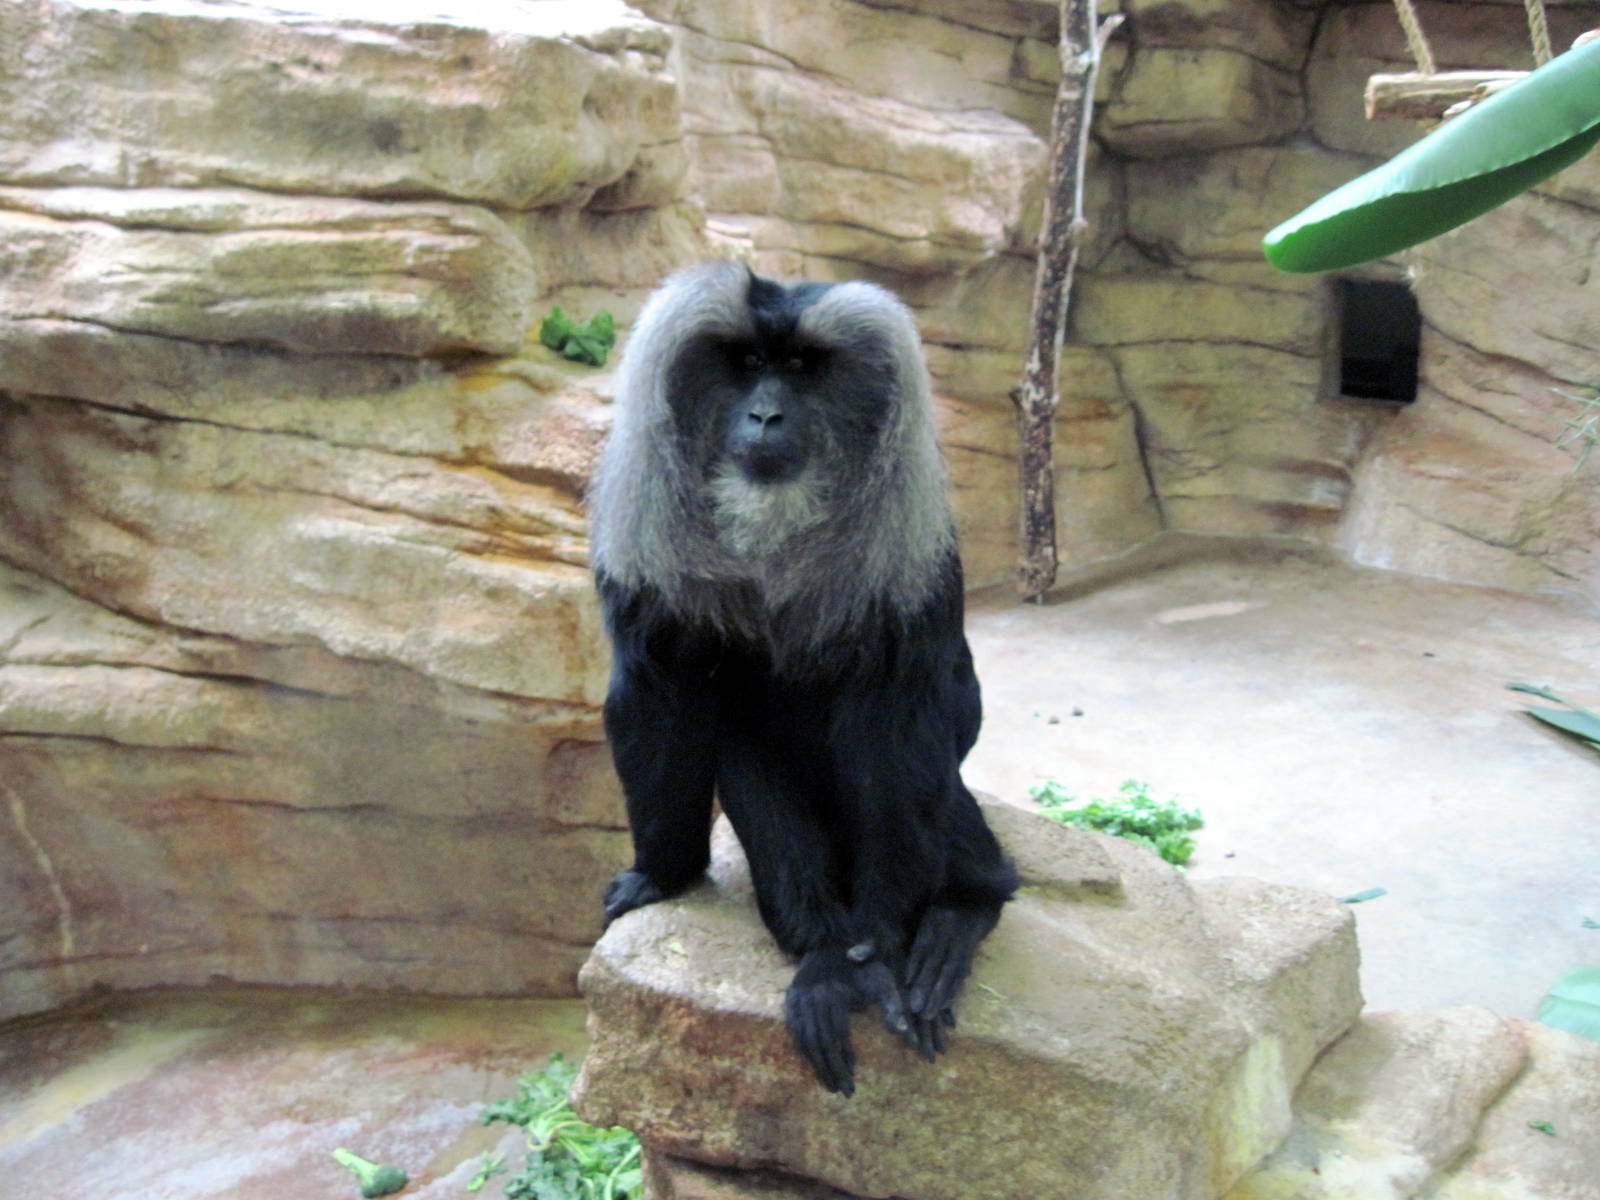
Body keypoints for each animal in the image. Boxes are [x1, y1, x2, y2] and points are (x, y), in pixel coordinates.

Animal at [588, 262, 1018, 1096]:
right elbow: (657, 698)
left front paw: (878, 951)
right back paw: (822, 952)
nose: (764, 415)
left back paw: (959, 911)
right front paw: (660, 874)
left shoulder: (909, 566)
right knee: (742, 754)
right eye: (750, 364)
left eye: (803, 368)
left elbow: (898, 733)